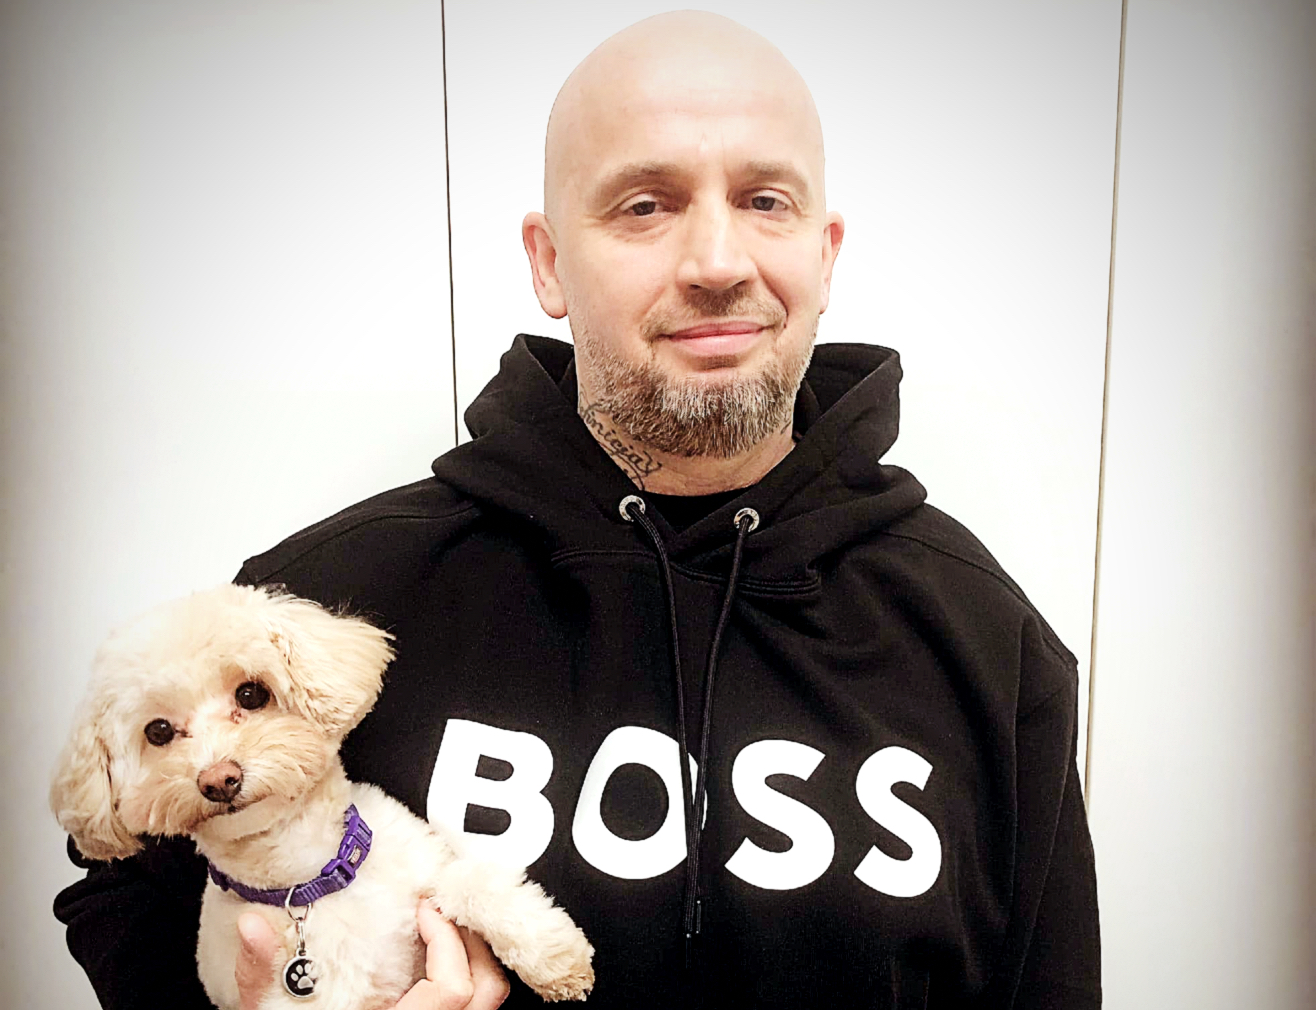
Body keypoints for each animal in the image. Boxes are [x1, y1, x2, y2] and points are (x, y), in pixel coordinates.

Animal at [50, 583, 595, 1007]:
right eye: (158, 731)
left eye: (251, 694)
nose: (219, 779)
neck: (307, 878)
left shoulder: (421, 863)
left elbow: (470, 881)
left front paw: (555, 957)